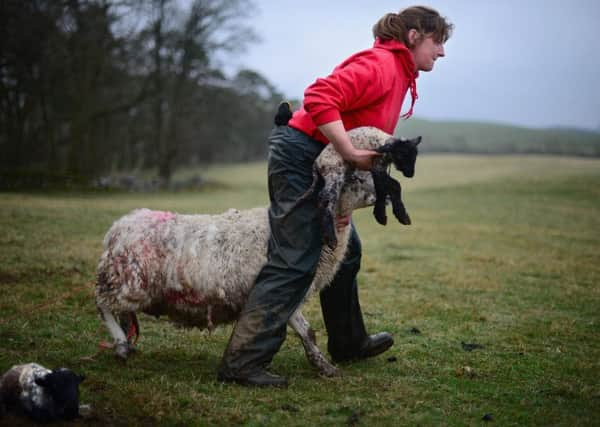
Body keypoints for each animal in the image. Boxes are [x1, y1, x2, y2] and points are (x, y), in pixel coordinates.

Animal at [97, 167, 380, 378]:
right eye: (354, 178)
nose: (377, 197)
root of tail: (117, 228)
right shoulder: (282, 289)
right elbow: (305, 331)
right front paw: (324, 366)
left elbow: (302, 331)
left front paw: (323, 366)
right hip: (126, 280)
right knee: (104, 306)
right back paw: (121, 345)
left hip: (126, 282)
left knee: (121, 311)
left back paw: (127, 342)